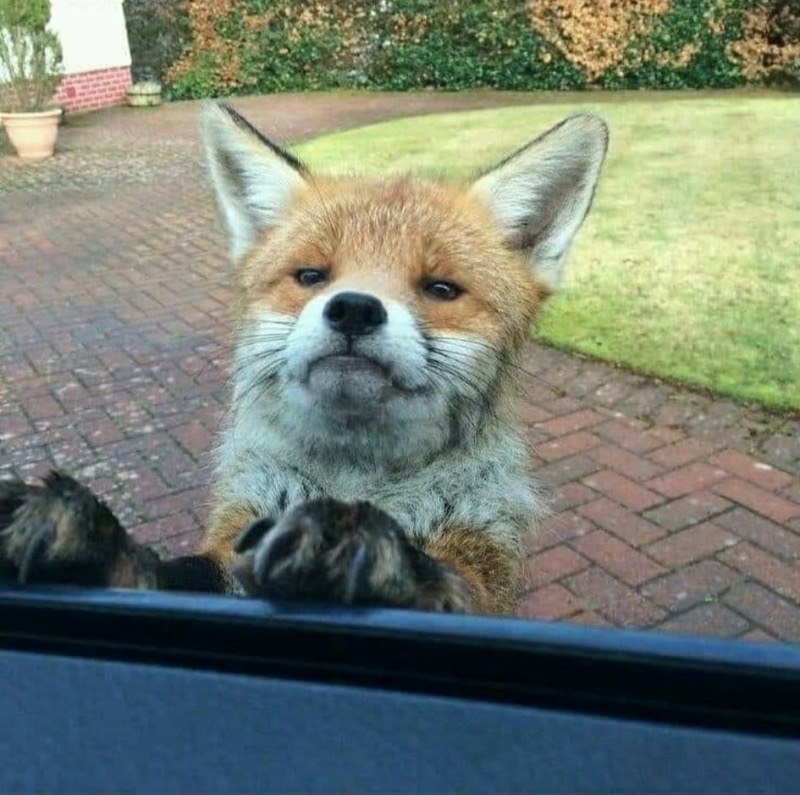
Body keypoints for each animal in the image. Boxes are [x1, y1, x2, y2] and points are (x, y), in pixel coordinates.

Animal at [0, 103, 608, 615]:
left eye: (441, 288)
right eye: (311, 276)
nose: (354, 310)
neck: (358, 482)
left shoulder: (480, 565)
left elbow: (442, 585)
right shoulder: (237, 539)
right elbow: (177, 574)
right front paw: (96, 549)